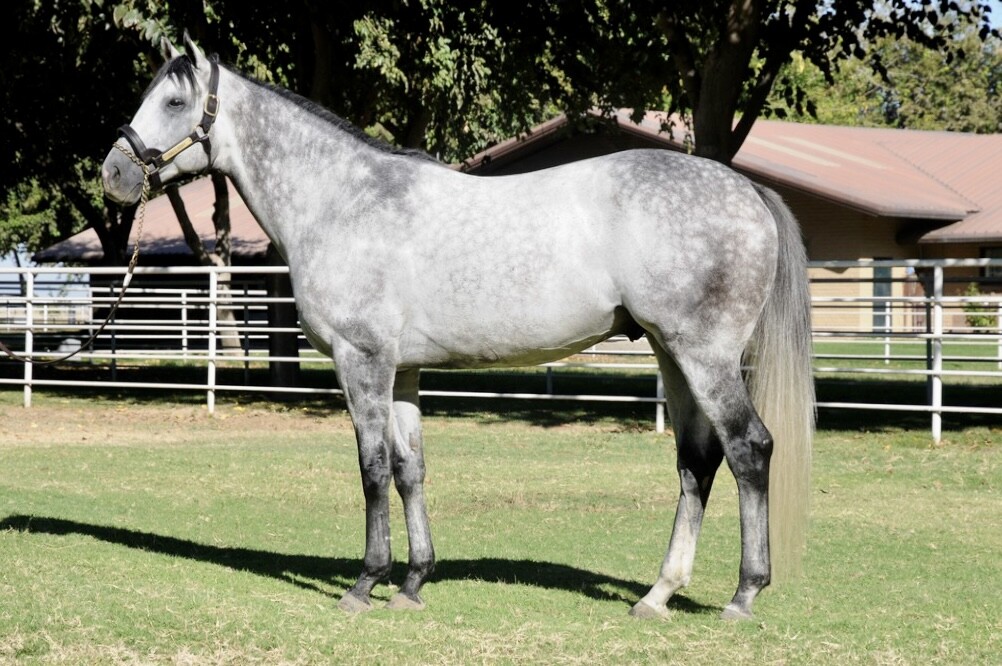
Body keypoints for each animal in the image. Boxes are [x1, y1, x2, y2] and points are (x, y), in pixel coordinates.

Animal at [101, 35, 814, 620]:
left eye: (172, 100)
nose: (112, 174)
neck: (343, 201)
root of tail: (745, 189)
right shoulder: (402, 371)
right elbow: (410, 468)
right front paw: (413, 583)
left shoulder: (361, 361)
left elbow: (372, 467)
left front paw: (365, 583)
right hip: (673, 355)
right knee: (697, 460)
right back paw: (658, 594)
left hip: (705, 356)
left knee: (749, 448)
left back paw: (744, 594)